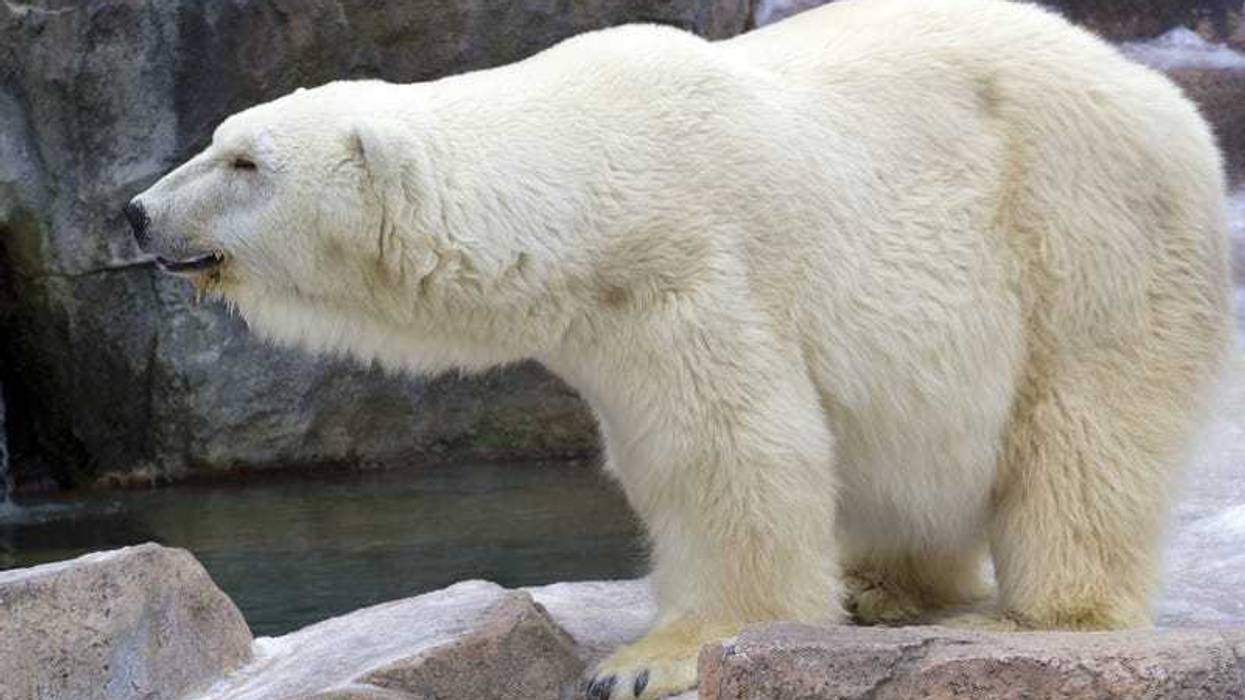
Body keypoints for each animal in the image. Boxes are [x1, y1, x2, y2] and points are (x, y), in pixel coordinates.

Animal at [126, 0, 1233, 697]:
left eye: (245, 161)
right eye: (220, 139)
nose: (137, 211)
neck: (584, 172)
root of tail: (1168, 104)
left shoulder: (690, 265)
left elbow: (728, 451)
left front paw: (647, 659)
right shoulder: (607, 322)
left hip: (1084, 232)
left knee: (1084, 431)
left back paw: (1038, 615)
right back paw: (879, 586)